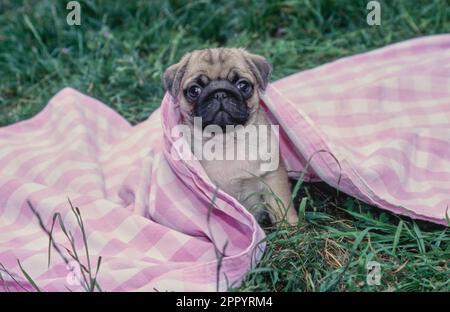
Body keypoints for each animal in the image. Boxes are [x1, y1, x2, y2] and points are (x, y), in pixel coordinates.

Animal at [163, 47, 298, 225]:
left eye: (243, 85)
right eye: (194, 90)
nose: (220, 93)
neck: (226, 140)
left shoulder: (273, 177)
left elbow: (281, 206)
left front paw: (291, 226)